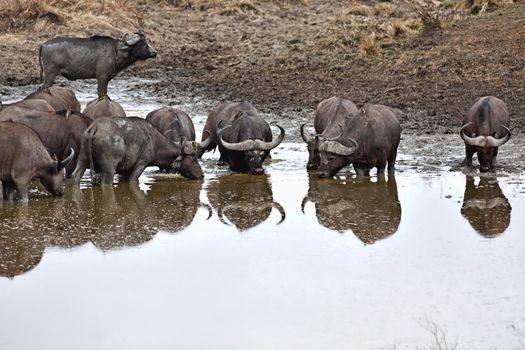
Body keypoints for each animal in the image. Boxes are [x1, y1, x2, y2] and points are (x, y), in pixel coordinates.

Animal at [72, 116, 204, 185]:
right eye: (193, 158)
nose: (202, 174)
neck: (155, 143)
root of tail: (95, 127)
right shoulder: (140, 166)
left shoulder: (125, 171)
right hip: (109, 168)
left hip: (83, 158)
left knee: (75, 176)